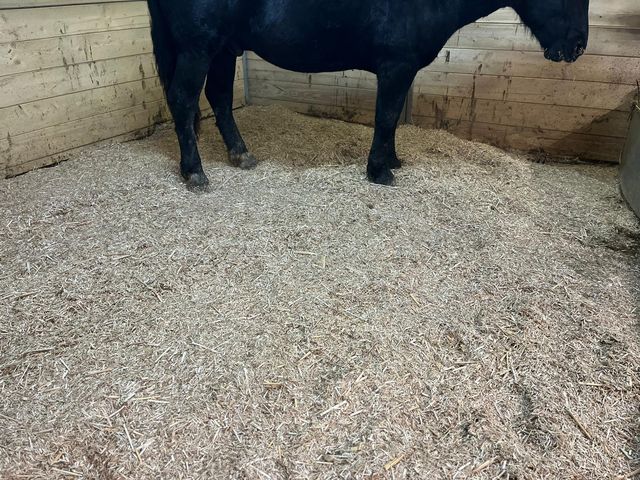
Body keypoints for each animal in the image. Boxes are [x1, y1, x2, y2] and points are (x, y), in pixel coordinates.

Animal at [147, 0, 589, 188]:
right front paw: (379, 171)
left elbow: (390, 121)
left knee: (220, 98)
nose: (576, 46)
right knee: (184, 101)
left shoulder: (402, 69)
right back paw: (195, 173)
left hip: (224, 48)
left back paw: (241, 155)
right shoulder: (396, 66)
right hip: (199, 48)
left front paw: (392, 160)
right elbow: (386, 116)